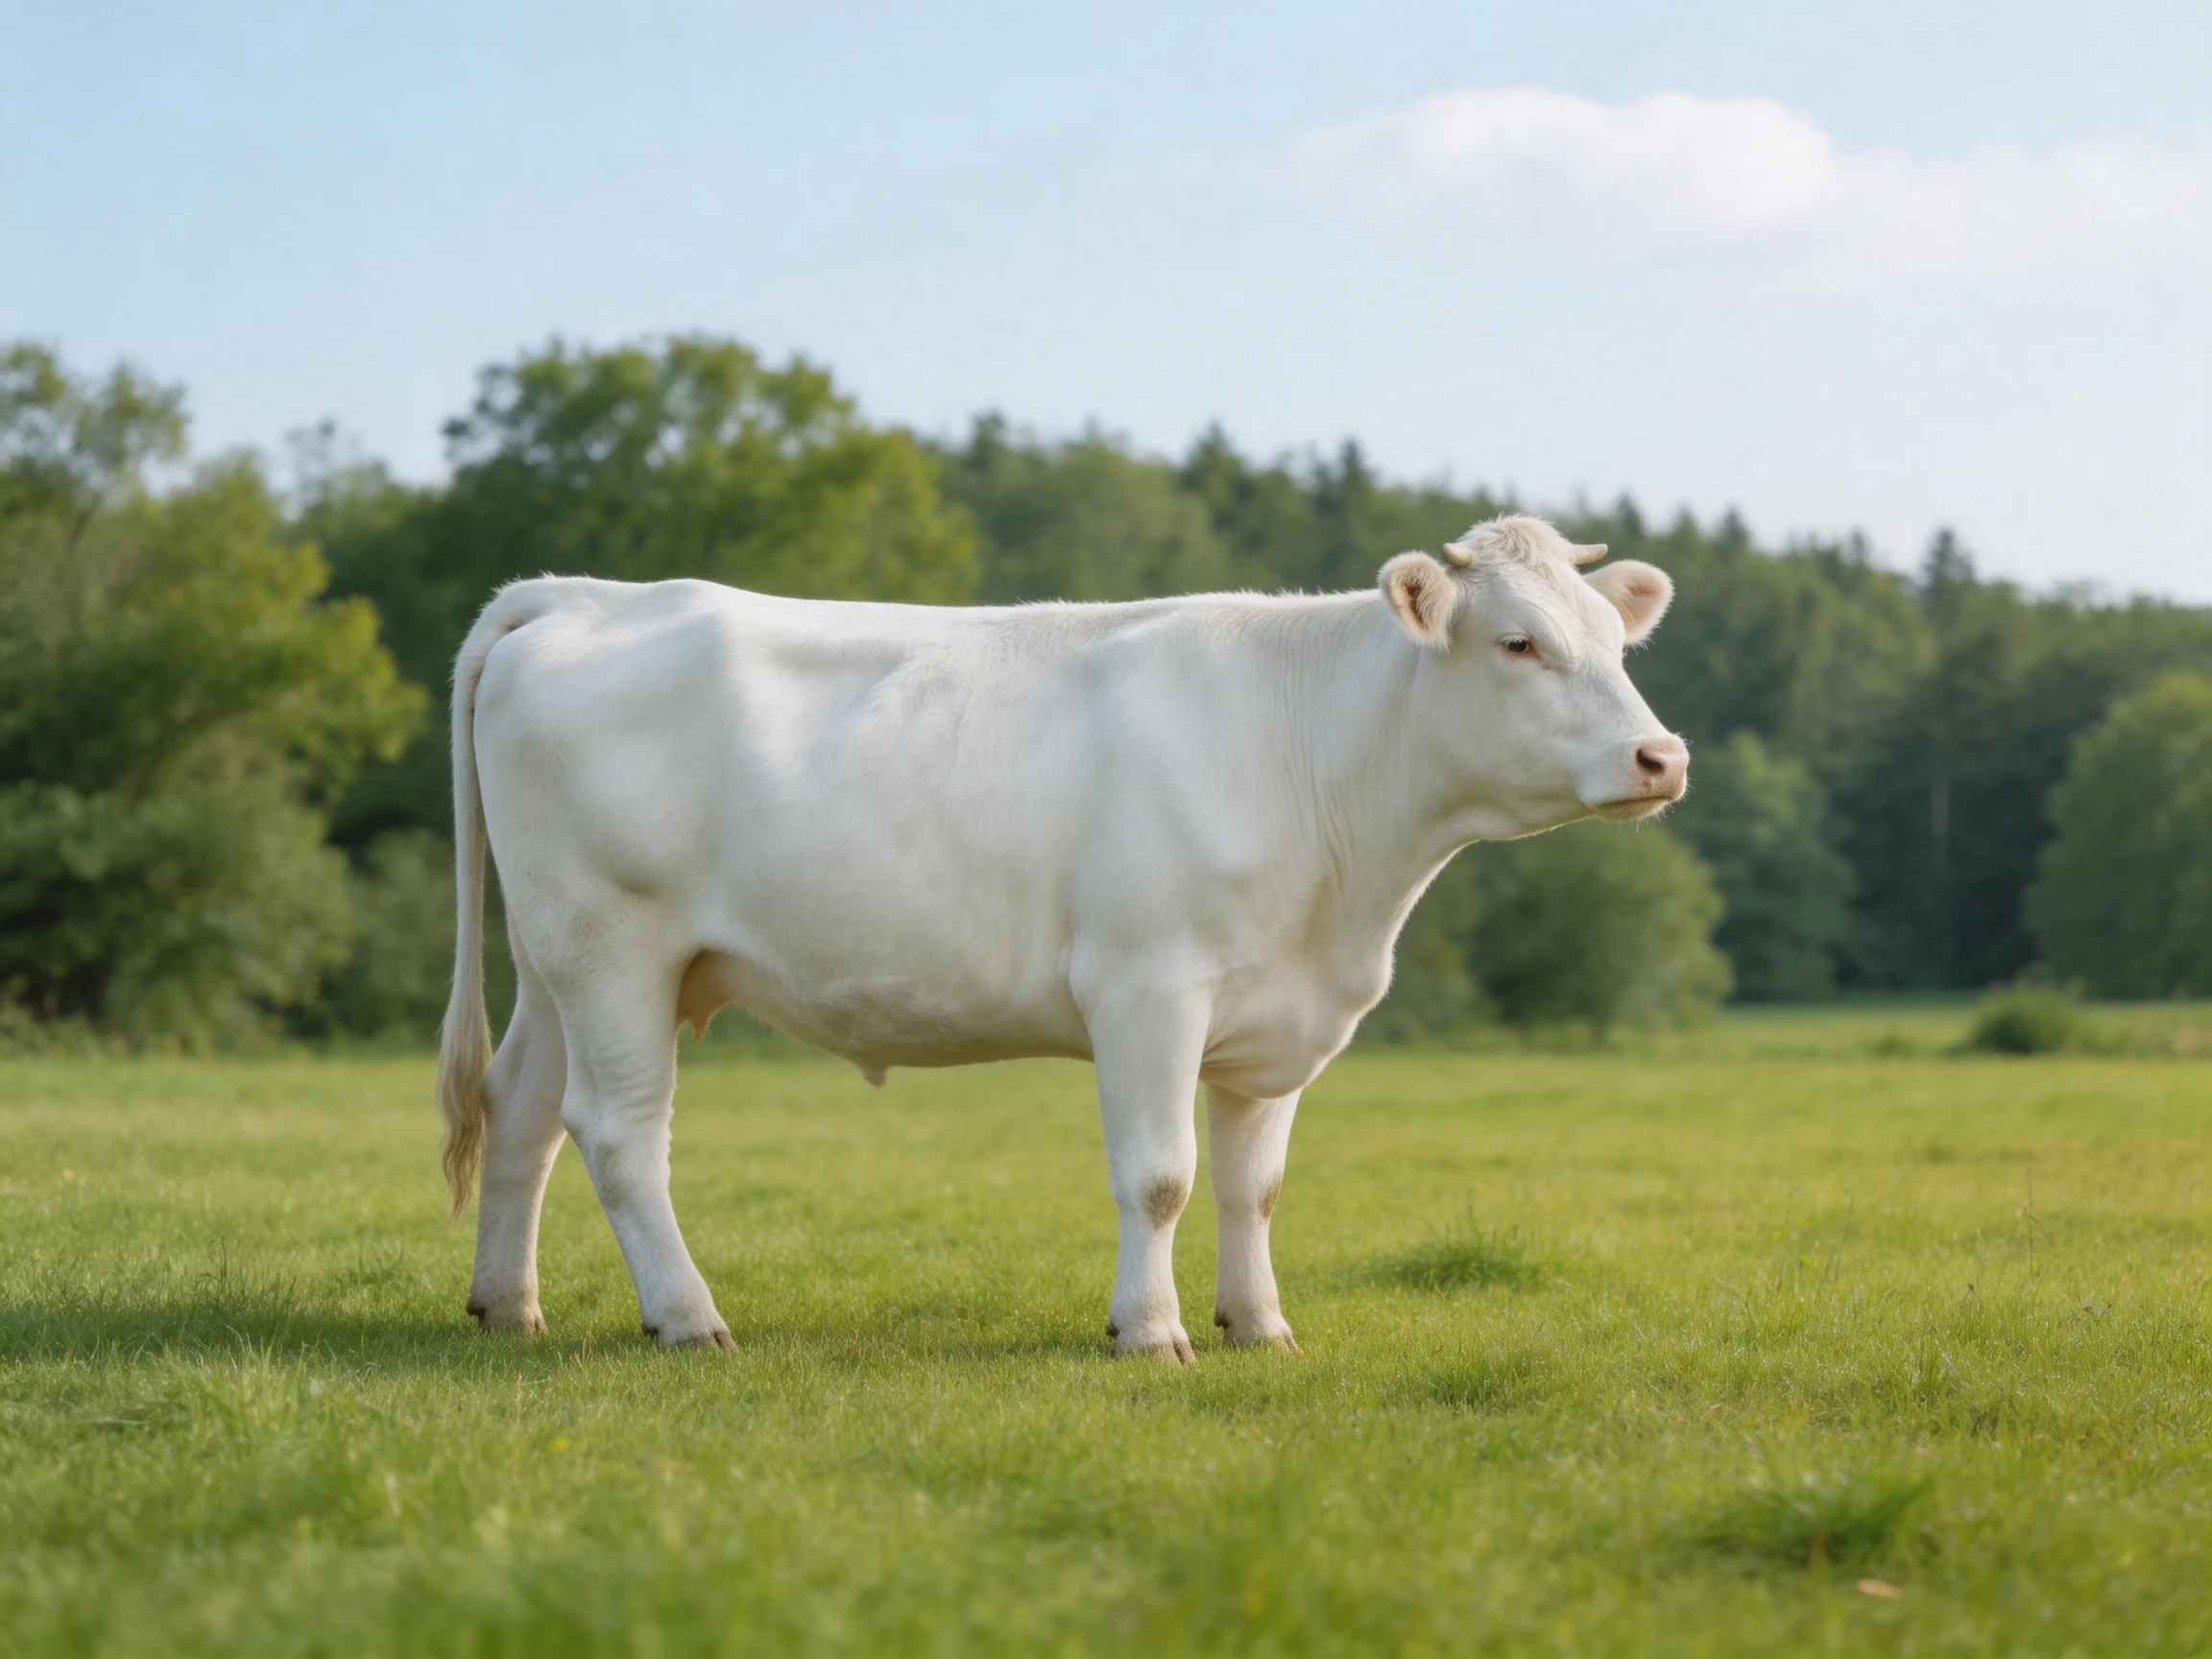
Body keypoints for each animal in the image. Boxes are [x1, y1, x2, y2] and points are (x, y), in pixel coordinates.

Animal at [437, 514, 1686, 1360]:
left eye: (1615, 644)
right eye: (1518, 644)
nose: (1660, 756)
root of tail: (578, 596)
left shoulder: (1274, 1019)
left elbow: (1254, 1187)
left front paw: (1259, 1324)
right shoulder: (1146, 987)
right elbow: (1163, 1177)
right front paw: (1151, 1331)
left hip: (555, 964)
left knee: (522, 1113)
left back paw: (507, 1304)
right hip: (615, 948)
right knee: (618, 1133)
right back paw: (690, 1317)